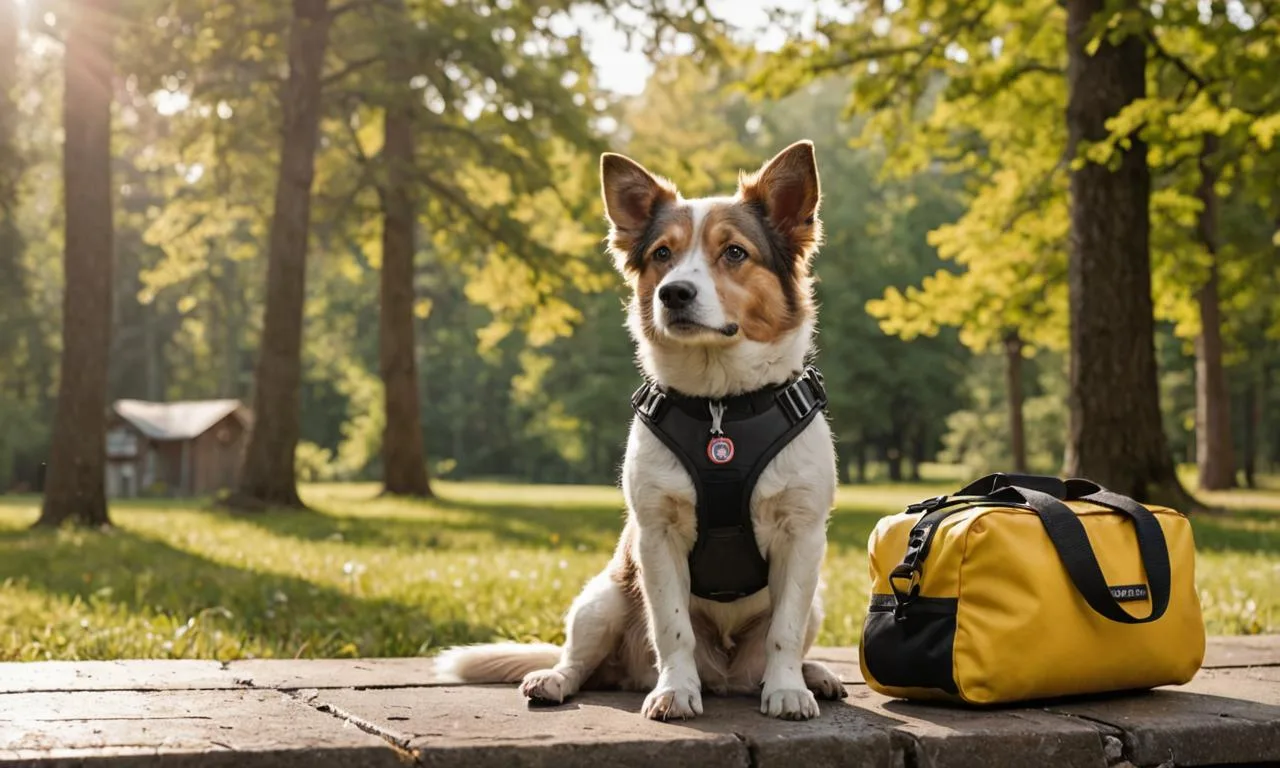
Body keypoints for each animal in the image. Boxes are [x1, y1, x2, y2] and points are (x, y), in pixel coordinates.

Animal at [435, 140, 844, 721]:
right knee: (582, 661)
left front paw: (788, 689)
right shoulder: (656, 535)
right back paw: (556, 680)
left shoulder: (803, 534)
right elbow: (672, 629)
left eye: (735, 252)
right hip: (602, 598)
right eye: (662, 254)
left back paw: (813, 675)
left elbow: (782, 632)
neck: (720, 404)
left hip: (817, 600)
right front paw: (675, 690)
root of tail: (724, 678)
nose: (674, 294)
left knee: (774, 650)